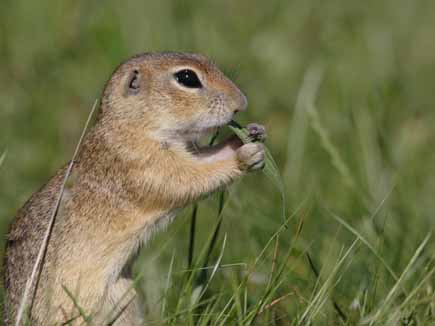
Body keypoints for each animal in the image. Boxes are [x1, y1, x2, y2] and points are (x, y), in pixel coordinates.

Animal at [4, 52, 266, 324]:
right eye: (187, 77)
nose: (241, 103)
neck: (129, 127)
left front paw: (249, 135)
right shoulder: (144, 166)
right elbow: (189, 177)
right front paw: (243, 155)